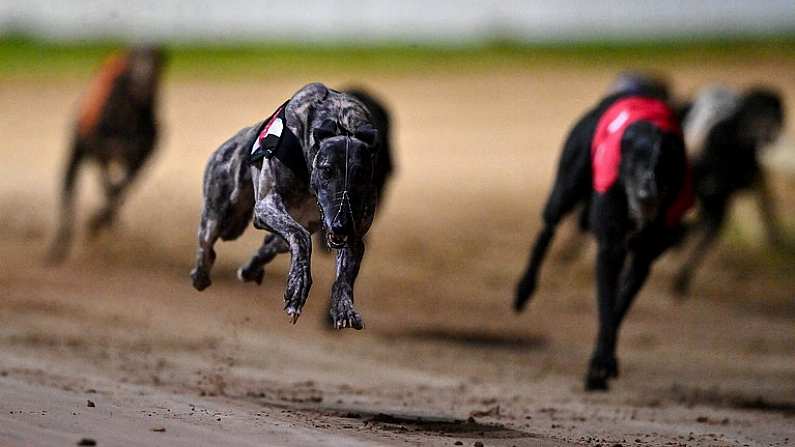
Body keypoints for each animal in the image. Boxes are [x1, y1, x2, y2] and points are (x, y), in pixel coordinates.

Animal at [47, 46, 166, 262]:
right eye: (134, 59)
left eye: (158, 59)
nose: (143, 78)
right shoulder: (100, 151)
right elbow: (110, 188)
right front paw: (97, 223)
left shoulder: (141, 159)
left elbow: (122, 188)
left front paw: (102, 221)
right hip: (76, 153)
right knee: (68, 191)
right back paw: (58, 248)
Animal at [188, 83, 384, 328]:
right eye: (327, 170)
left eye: (361, 175)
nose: (341, 225)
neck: (341, 123)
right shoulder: (266, 205)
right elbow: (301, 238)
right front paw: (297, 288)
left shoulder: (353, 232)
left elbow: (346, 268)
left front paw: (343, 306)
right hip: (222, 216)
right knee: (207, 243)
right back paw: (201, 274)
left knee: (274, 243)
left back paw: (251, 268)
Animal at [516, 92, 692, 392]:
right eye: (635, 163)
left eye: (665, 166)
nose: (647, 194)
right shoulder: (610, 249)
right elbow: (608, 306)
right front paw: (601, 363)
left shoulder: (643, 258)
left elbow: (619, 306)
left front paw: (599, 365)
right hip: (567, 186)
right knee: (548, 228)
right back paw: (524, 289)